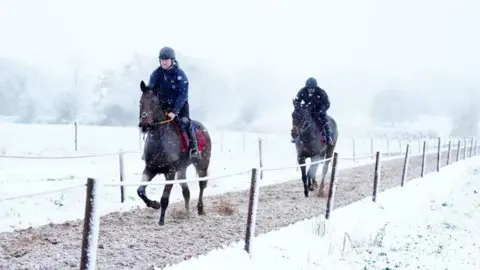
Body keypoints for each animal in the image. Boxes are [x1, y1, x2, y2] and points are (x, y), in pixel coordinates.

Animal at [135, 80, 210, 226]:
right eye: (140, 102)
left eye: (154, 102)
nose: (144, 125)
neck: (159, 139)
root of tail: (203, 129)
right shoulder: (149, 169)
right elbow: (140, 191)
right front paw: (154, 204)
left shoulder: (170, 172)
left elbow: (164, 198)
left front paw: (161, 220)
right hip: (182, 170)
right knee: (186, 191)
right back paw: (186, 212)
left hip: (202, 165)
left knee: (202, 185)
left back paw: (200, 208)